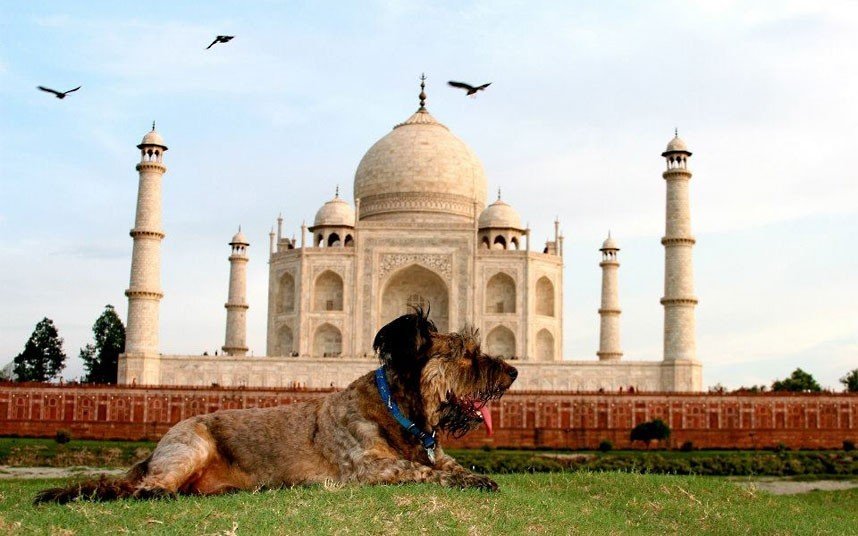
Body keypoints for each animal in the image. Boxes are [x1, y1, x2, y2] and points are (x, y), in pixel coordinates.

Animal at [35, 310, 516, 502]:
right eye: (466, 354)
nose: (512, 371)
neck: (401, 415)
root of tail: (150, 454)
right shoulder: (367, 467)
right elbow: (420, 471)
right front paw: (466, 481)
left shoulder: (433, 449)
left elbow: (452, 465)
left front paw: (475, 476)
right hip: (188, 444)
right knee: (144, 490)